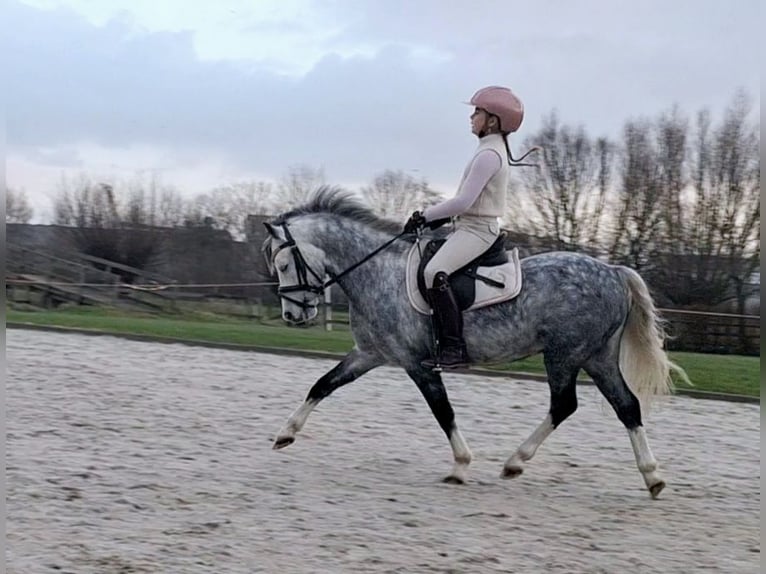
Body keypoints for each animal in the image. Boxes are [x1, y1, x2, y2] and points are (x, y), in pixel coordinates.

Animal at [264, 188, 688, 500]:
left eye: (283, 265)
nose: (293, 316)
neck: (376, 272)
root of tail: (614, 272)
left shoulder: (417, 364)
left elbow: (443, 412)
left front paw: (461, 465)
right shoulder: (370, 354)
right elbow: (323, 384)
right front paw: (285, 433)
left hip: (564, 355)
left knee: (565, 404)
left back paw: (516, 461)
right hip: (596, 356)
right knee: (626, 406)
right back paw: (652, 477)